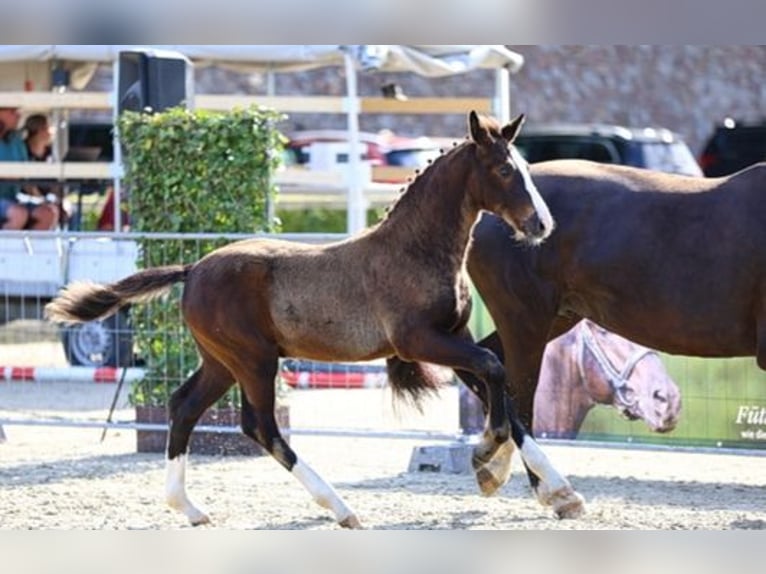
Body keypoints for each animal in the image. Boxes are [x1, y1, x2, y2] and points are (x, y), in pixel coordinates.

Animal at [45, 113, 584, 532]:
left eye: (526, 168)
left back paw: (190, 508)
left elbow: (499, 390)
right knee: (261, 427)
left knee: (183, 407)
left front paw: (557, 492)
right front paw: (486, 457)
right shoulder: (419, 341)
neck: (415, 250)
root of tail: (194, 268)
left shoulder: (452, 337)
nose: (541, 224)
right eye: (503, 169)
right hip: (254, 360)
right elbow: (494, 370)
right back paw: (341, 508)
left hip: (222, 362)